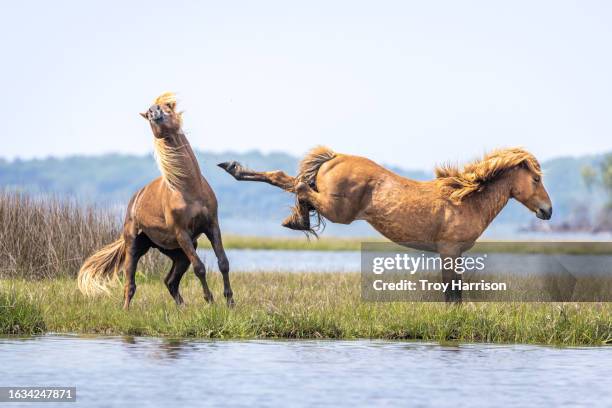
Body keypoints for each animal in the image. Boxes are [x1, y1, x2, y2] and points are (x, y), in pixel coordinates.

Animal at [79, 93, 234, 310]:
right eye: (148, 113)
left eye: (167, 105)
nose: (154, 112)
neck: (188, 189)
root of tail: (135, 200)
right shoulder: (182, 233)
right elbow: (200, 268)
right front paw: (210, 302)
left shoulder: (211, 225)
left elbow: (223, 262)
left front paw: (230, 302)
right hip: (136, 246)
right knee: (130, 283)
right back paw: (126, 310)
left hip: (177, 252)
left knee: (170, 281)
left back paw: (183, 309)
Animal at [221, 147, 556, 302]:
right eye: (535, 179)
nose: (548, 211)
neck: (466, 200)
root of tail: (335, 157)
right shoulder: (449, 251)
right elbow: (453, 292)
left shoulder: (453, 254)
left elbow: (454, 291)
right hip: (339, 211)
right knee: (298, 186)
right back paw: (296, 217)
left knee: (287, 180)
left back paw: (235, 169)